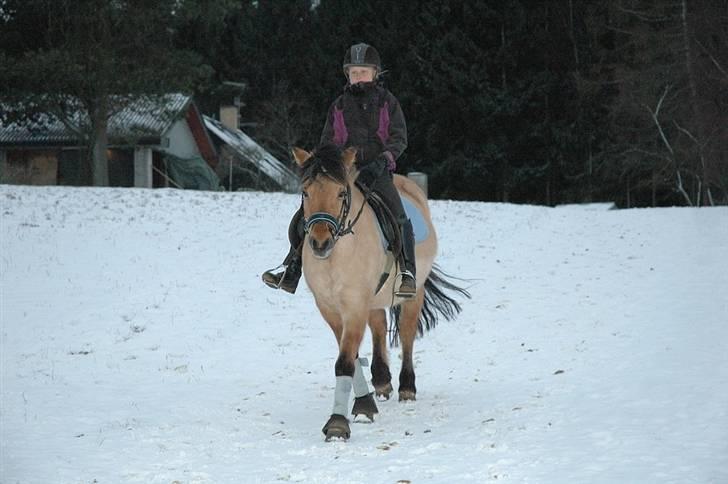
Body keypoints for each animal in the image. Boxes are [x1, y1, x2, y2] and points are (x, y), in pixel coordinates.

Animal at [290, 143, 466, 438]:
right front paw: (364, 403)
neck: (336, 256)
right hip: (374, 299)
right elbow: (351, 355)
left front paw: (338, 423)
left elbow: (345, 361)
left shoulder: (355, 305)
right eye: (306, 192)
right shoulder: (329, 308)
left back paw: (407, 387)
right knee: (380, 327)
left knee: (406, 335)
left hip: (413, 293)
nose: (320, 243)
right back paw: (382, 380)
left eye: (341, 193)